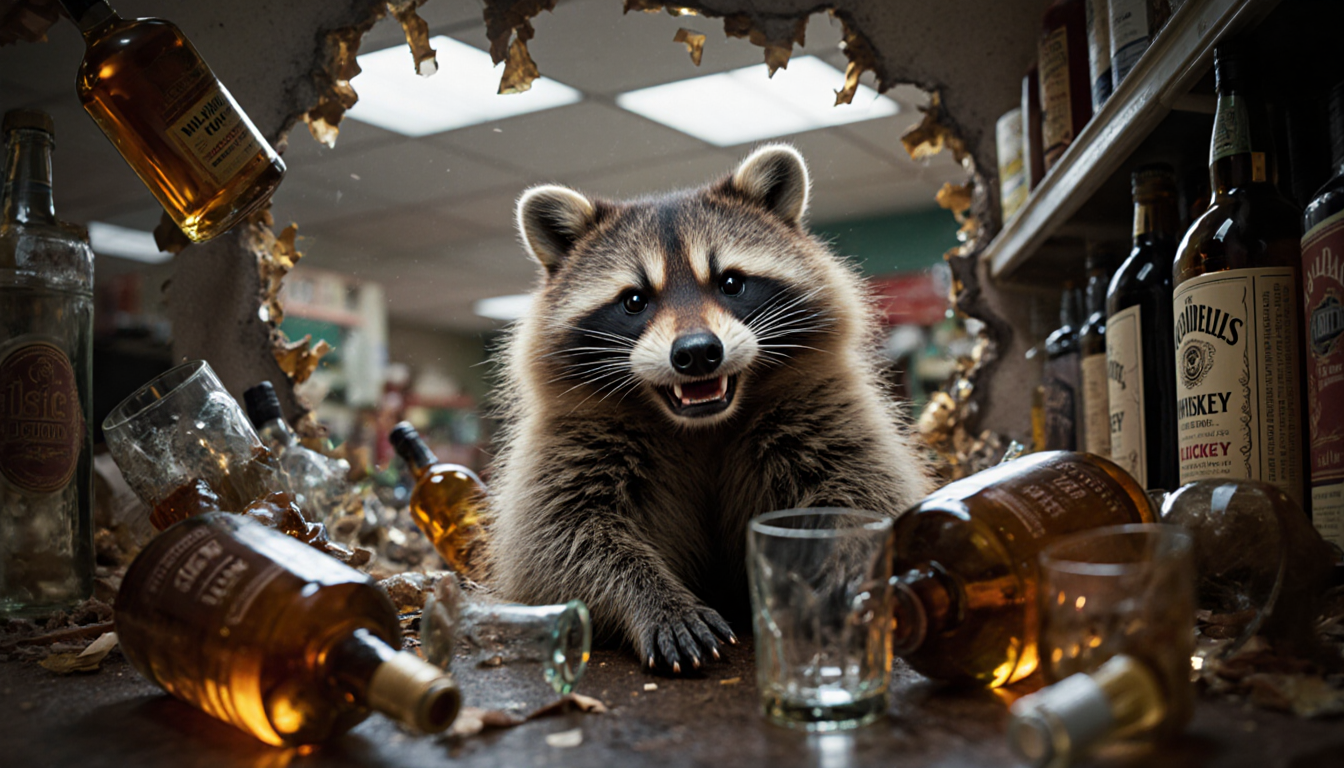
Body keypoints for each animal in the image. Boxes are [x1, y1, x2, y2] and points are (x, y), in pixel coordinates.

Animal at [487, 144, 932, 672]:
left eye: (731, 283)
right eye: (634, 300)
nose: (698, 352)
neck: (702, 425)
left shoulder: (824, 407)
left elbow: (866, 494)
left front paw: (846, 564)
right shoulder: (569, 439)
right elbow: (558, 542)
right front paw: (654, 599)